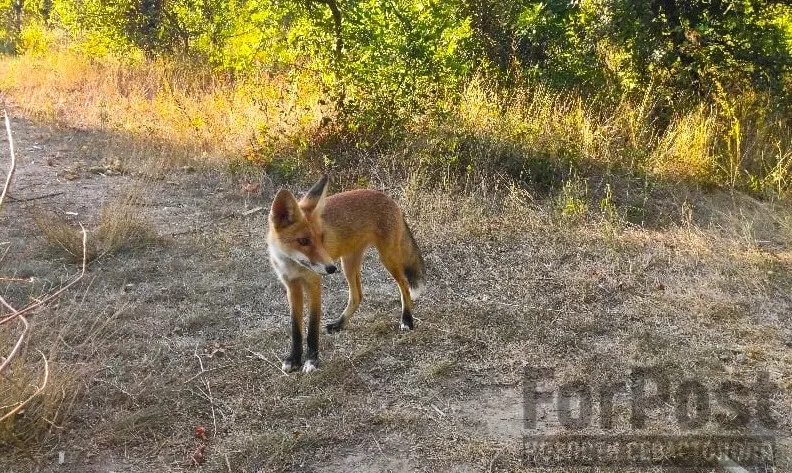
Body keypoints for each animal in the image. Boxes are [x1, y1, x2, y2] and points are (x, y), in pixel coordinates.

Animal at [268, 173, 426, 372]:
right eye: (303, 241)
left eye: (321, 238)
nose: (330, 268)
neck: (293, 265)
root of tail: (387, 197)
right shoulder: (291, 286)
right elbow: (295, 328)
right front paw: (294, 359)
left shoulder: (314, 284)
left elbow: (312, 327)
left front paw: (312, 360)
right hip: (348, 264)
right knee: (357, 296)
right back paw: (340, 324)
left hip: (386, 258)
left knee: (404, 286)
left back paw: (407, 320)